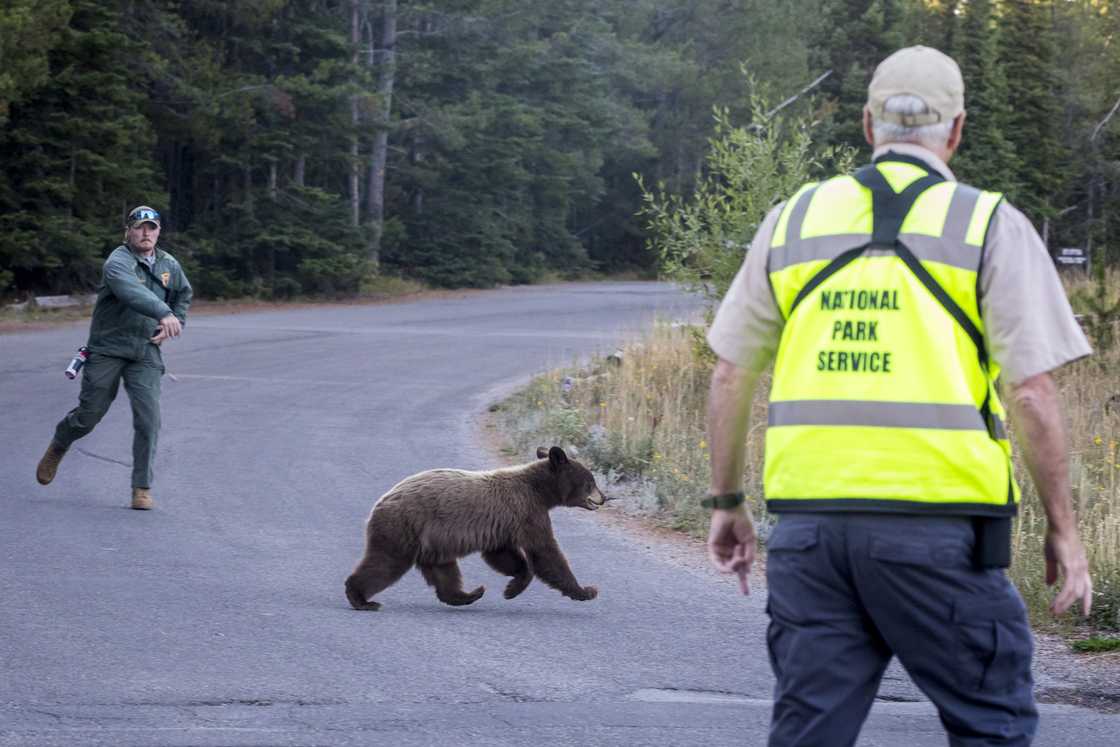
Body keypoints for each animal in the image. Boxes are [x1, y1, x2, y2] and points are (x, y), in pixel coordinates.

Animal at [345, 446, 607, 610]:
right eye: (591, 481)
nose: (604, 497)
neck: (540, 491)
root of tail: (379, 503)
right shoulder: (527, 513)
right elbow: (545, 552)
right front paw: (586, 590)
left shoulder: (504, 524)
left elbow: (504, 555)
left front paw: (512, 587)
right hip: (403, 528)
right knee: (385, 563)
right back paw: (361, 599)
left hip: (431, 541)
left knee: (443, 571)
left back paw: (470, 594)